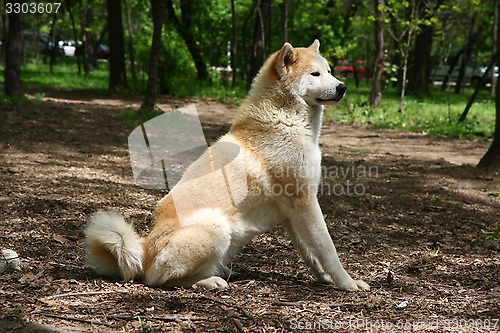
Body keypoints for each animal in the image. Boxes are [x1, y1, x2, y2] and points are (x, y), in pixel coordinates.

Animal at [84, 39, 370, 290]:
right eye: (315, 74)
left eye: (329, 71)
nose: (343, 87)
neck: (284, 120)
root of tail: (143, 253)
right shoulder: (305, 201)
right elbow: (327, 247)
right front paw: (346, 283)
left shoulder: (291, 212)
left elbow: (311, 253)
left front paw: (325, 278)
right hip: (217, 227)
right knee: (158, 279)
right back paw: (209, 281)